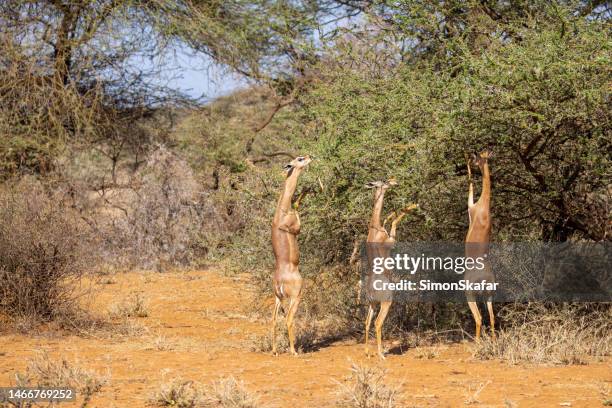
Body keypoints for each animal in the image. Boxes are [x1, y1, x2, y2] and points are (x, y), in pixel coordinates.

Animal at [364, 180, 416, 358]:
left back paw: (368, 352)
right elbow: (394, 221)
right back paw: (381, 354)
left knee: (367, 322)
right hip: (386, 302)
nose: (393, 181)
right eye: (383, 181)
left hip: (373, 304)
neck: (374, 227)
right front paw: (413, 205)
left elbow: (389, 217)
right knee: (377, 322)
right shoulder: (391, 241)